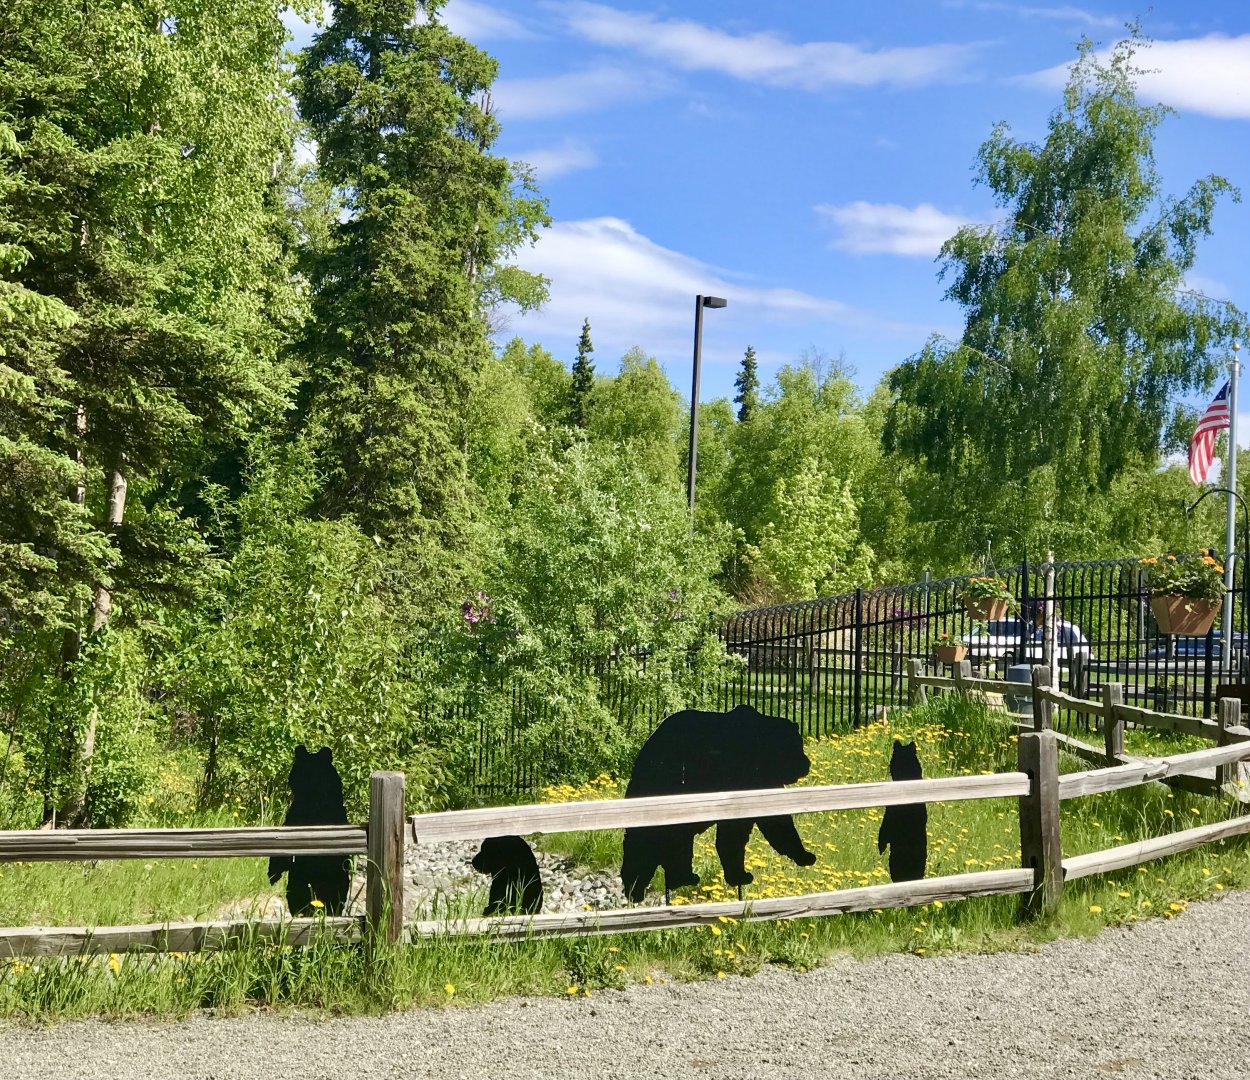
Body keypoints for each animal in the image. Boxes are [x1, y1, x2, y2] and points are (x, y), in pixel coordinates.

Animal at [619, 704, 817, 902]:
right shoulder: (744, 777)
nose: (806, 764)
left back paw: (682, 878)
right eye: (798, 746)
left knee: (675, 842)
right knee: (645, 842)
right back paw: (636, 890)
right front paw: (742, 875)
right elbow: (741, 831)